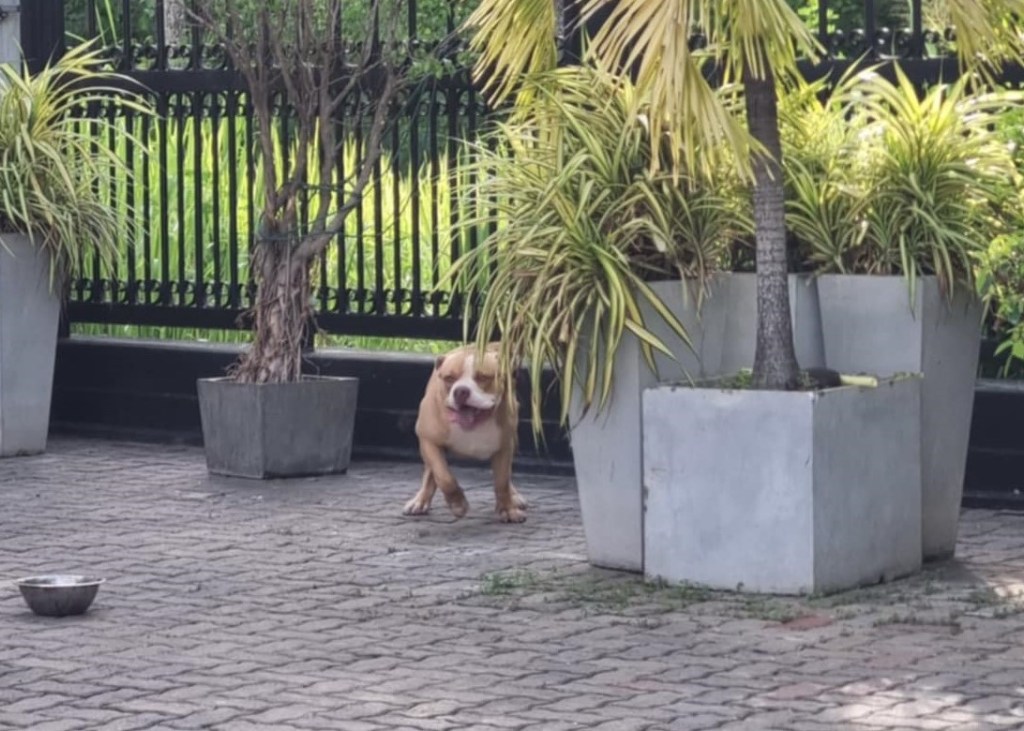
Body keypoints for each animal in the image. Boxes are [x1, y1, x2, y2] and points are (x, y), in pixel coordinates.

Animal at [403, 343, 527, 523]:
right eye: (449, 379)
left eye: (483, 377)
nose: (461, 391)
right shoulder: (429, 441)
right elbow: (444, 477)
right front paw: (458, 504)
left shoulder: (504, 447)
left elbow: (502, 481)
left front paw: (507, 509)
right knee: (431, 473)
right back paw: (420, 501)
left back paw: (514, 496)